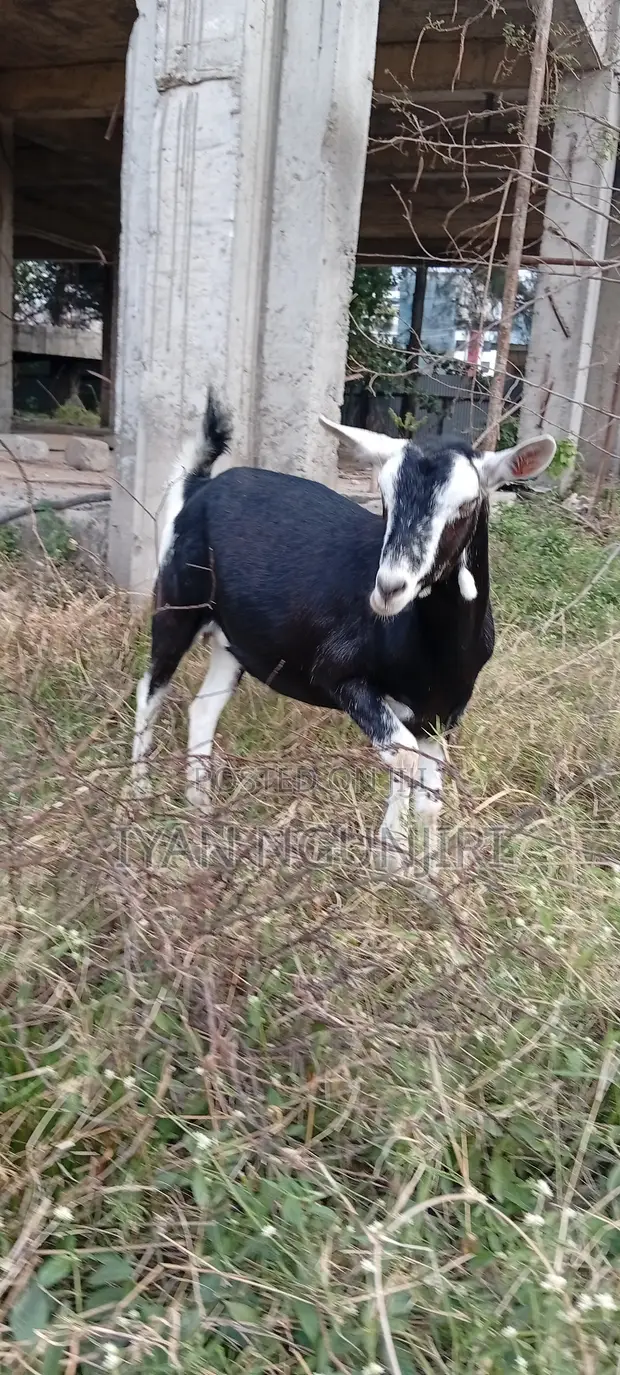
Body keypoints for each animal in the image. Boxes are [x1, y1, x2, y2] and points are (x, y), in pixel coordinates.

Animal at [131, 393, 555, 871]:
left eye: (466, 505)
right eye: (385, 498)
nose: (389, 588)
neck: (433, 649)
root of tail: (200, 487)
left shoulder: (441, 713)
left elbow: (430, 797)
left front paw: (430, 872)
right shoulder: (340, 676)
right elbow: (403, 757)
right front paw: (392, 857)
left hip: (233, 641)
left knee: (204, 708)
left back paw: (200, 806)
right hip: (178, 602)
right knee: (150, 689)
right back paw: (138, 793)